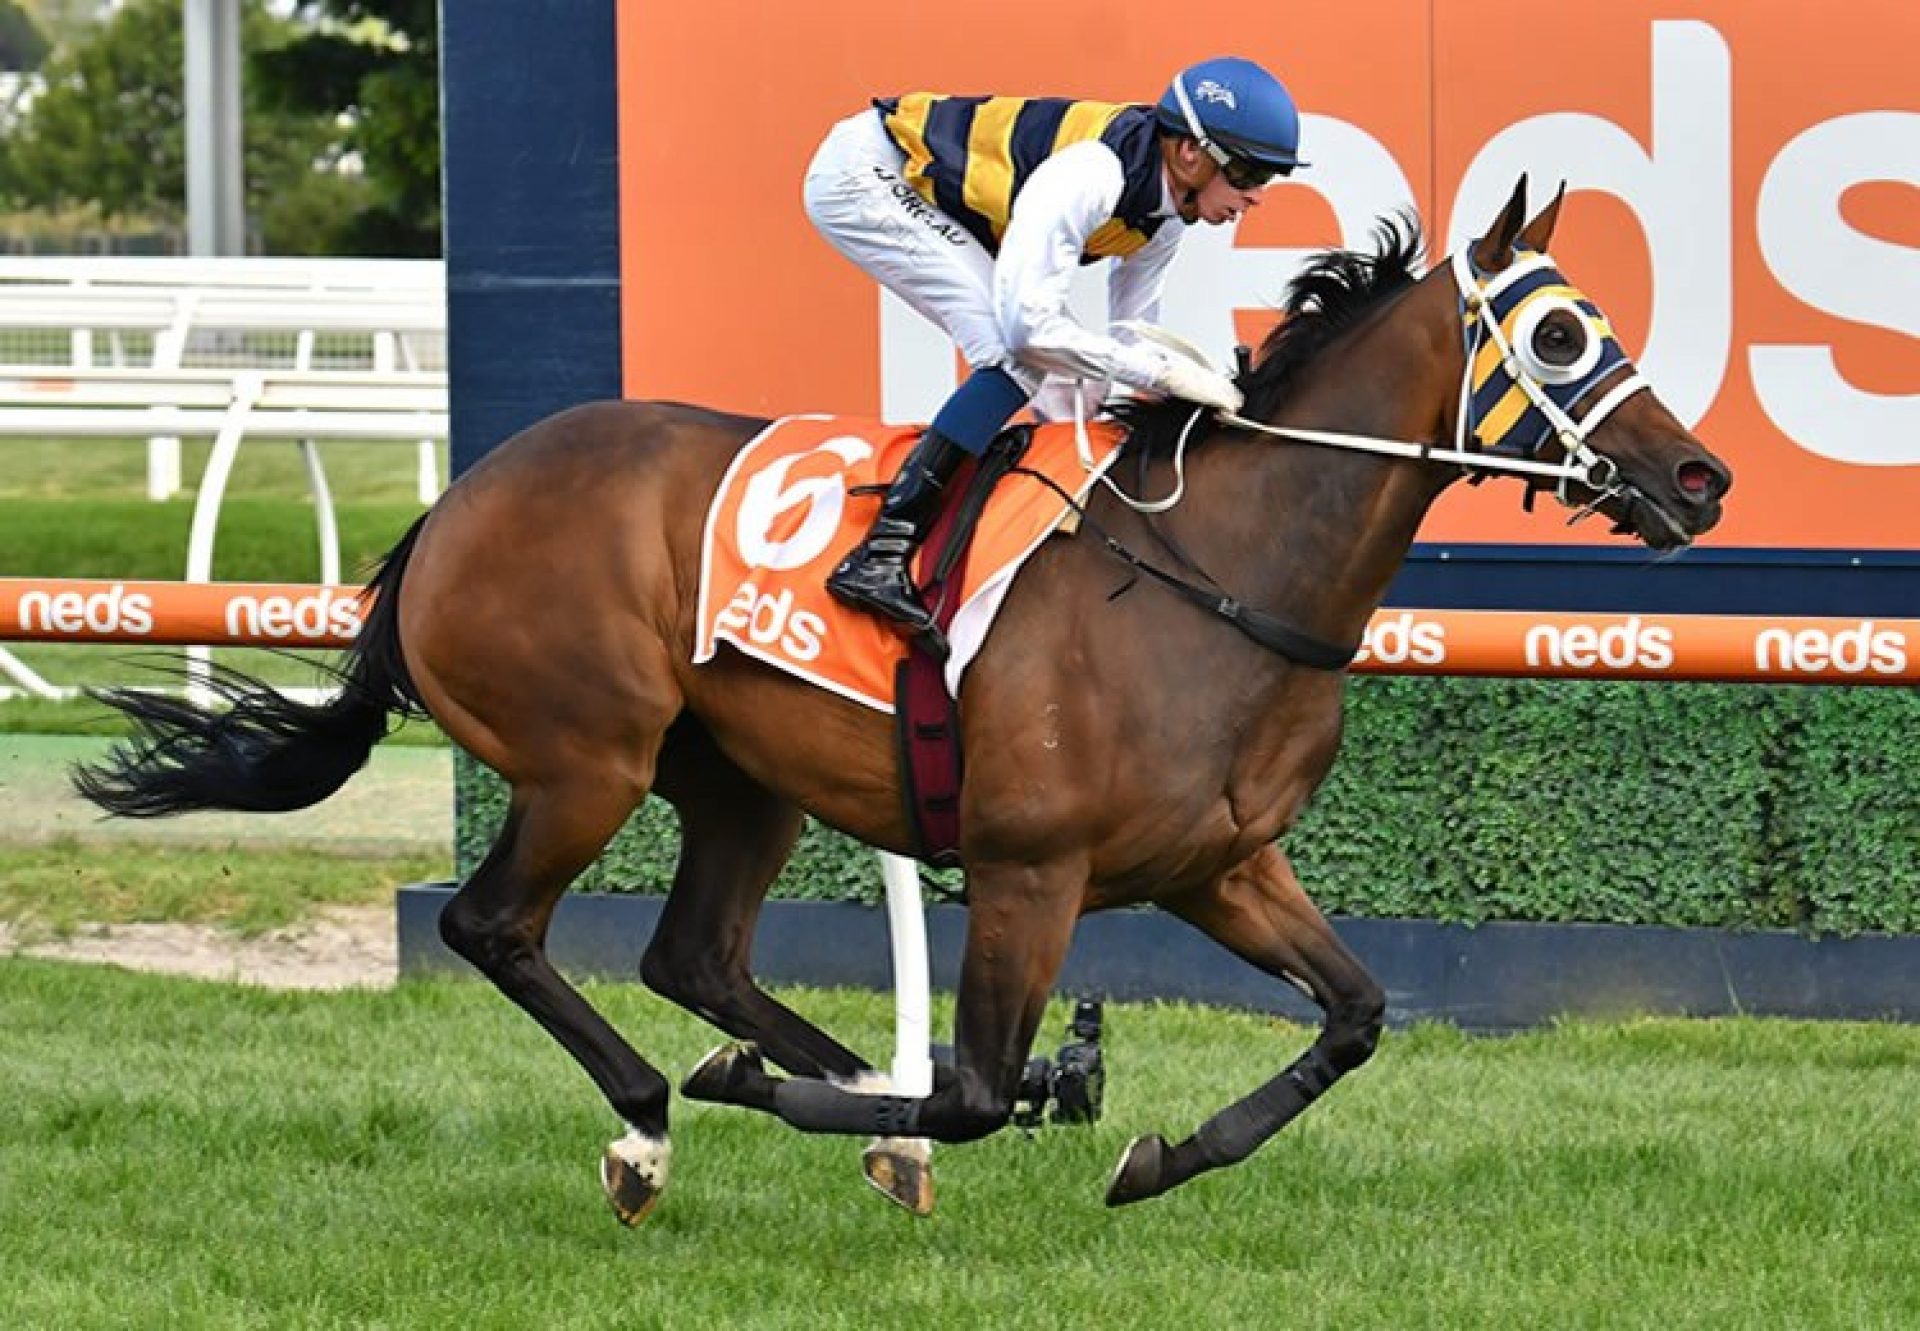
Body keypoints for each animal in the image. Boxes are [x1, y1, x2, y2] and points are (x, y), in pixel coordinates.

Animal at [74, 179, 1728, 1221]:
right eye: (1561, 332)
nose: (1700, 475)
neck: (1213, 566)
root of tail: (453, 505)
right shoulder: (1028, 865)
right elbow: (980, 1088)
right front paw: (858, 1100)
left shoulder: (1220, 862)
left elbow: (1359, 1013)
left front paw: (1149, 1149)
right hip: (584, 758)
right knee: (499, 927)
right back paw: (659, 1118)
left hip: (738, 777)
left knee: (696, 956)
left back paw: (826, 1096)